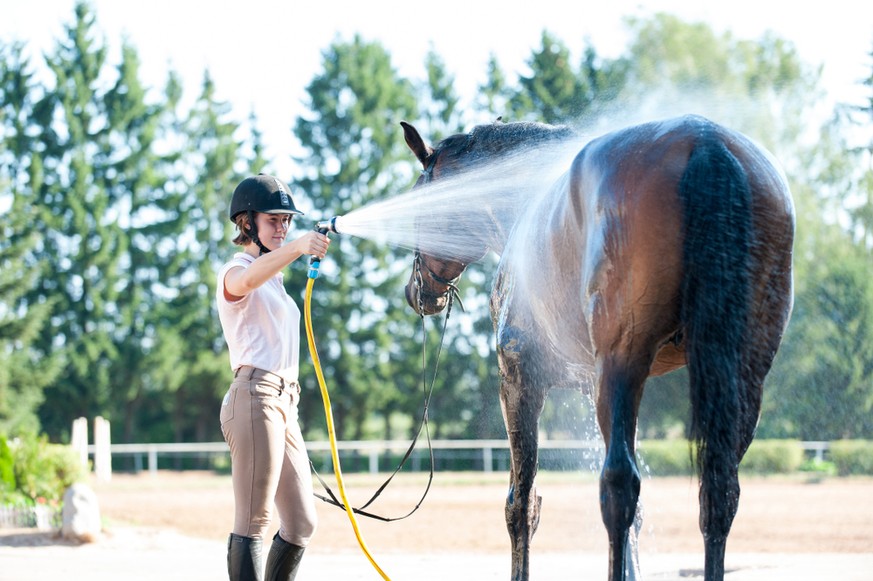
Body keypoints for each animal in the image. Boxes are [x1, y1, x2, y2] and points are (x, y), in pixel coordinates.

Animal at [402, 114, 796, 580]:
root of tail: (706, 141)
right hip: (739, 377)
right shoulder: (594, 385)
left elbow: (522, 504)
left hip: (624, 362)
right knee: (718, 493)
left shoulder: (519, 379)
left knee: (618, 486)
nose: (416, 292)